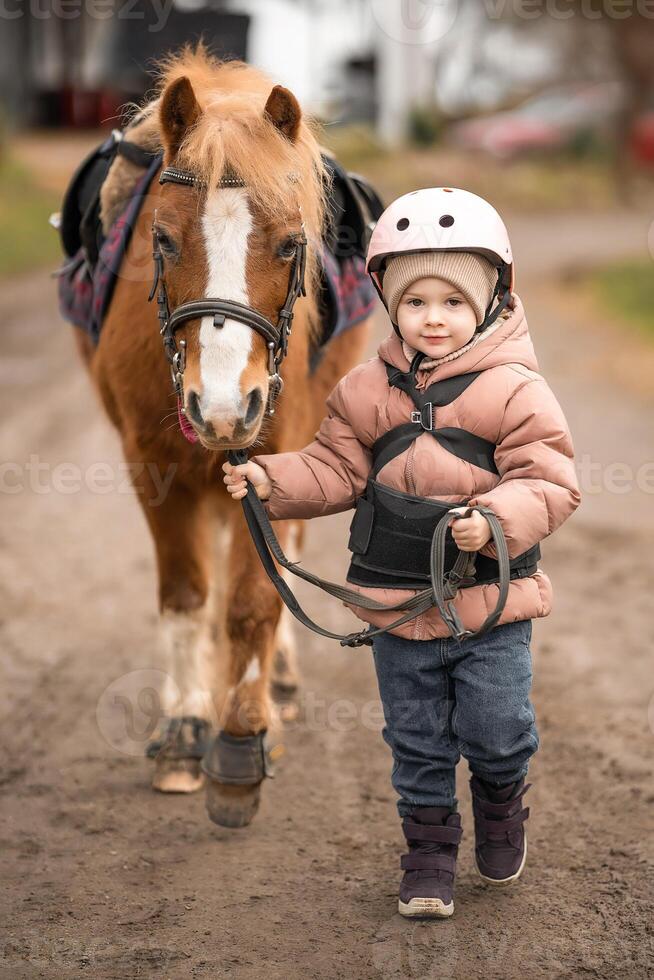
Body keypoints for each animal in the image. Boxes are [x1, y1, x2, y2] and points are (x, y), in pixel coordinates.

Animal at [73, 46, 372, 828]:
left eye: (293, 245)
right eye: (163, 240)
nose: (224, 407)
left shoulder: (272, 451)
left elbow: (253, 601)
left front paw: (240, 743)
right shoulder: (152, 465)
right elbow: (187, 596)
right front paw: (186, 731)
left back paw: (278, 680)